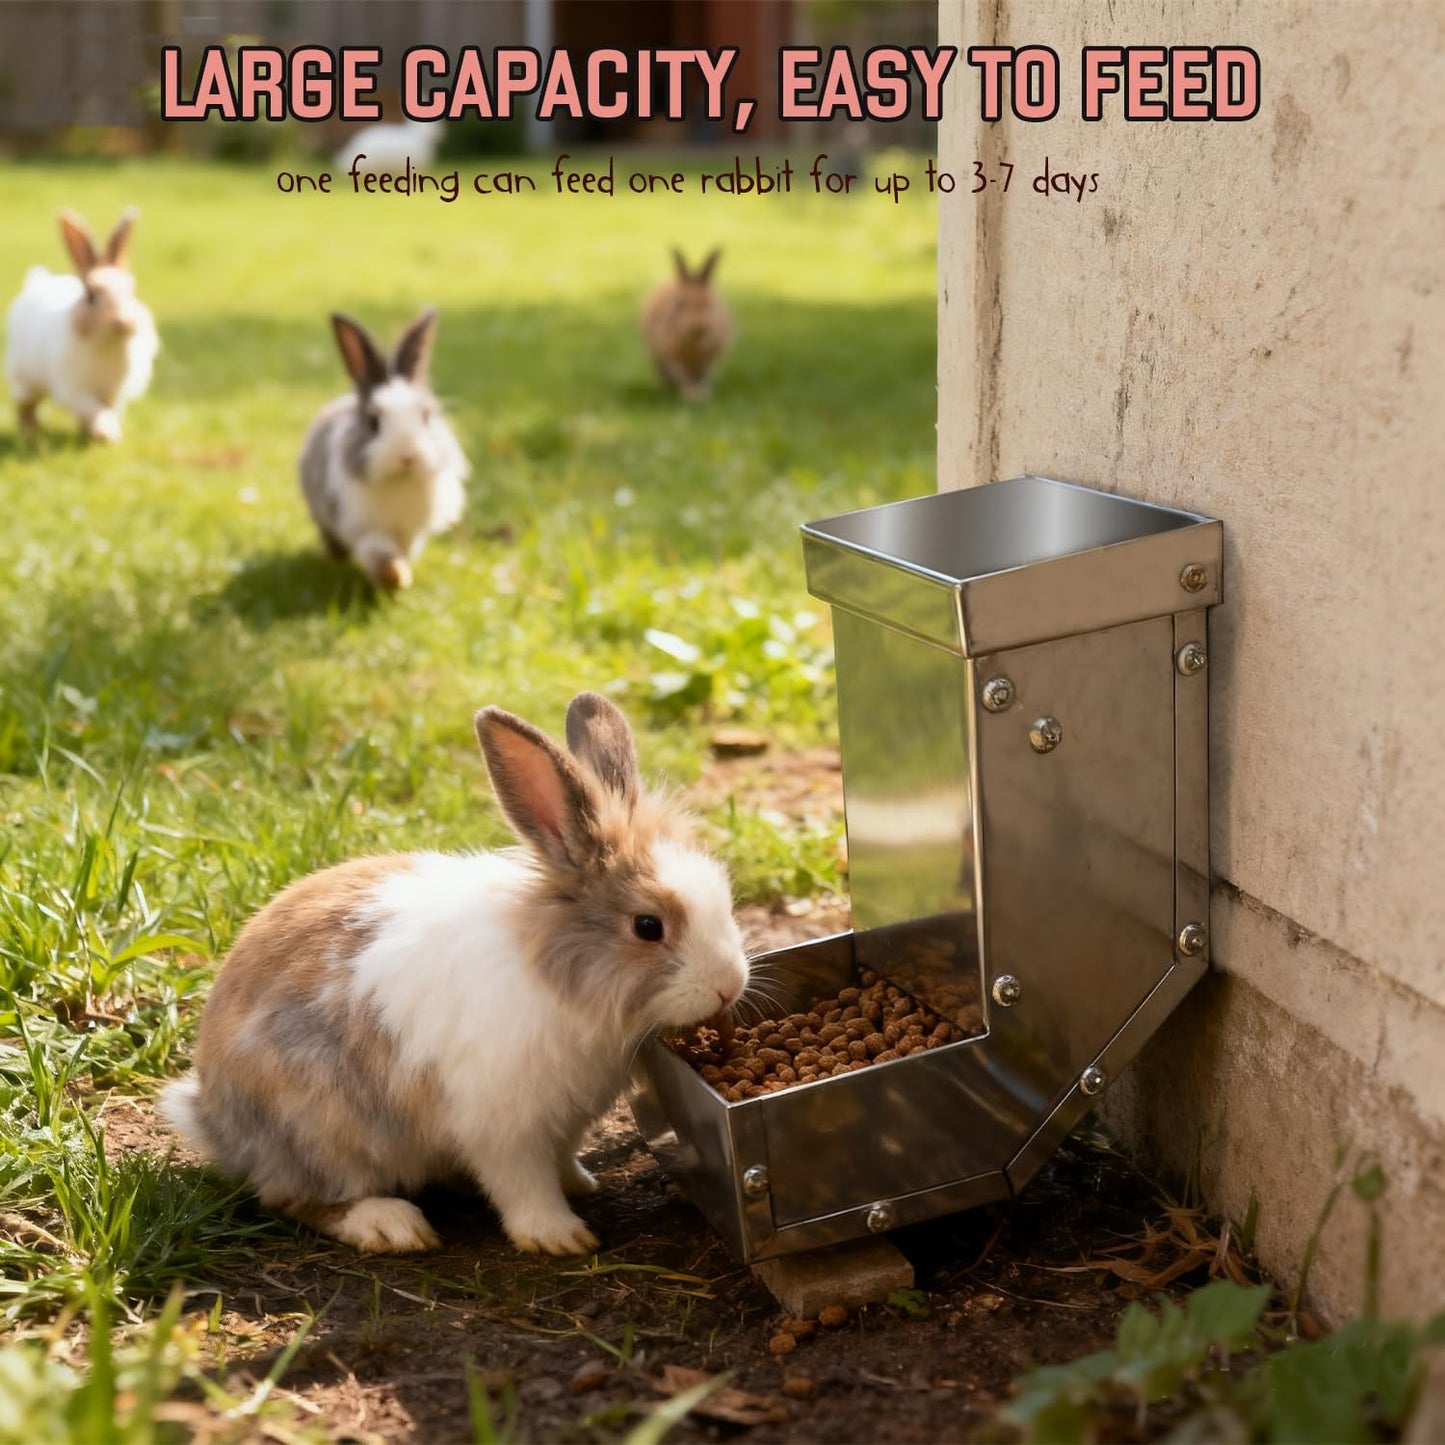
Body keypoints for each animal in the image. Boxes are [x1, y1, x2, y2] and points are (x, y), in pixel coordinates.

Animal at [4, 207, 158, 442]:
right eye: (91, 296)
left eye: (131, 291)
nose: (123, 322)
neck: (108, 344)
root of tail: (37, 282)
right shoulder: (74, 390)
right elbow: (93, 409)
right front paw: (107, 433)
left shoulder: (113, 394)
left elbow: (104, 410)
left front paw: (94, 436)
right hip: (25, 380)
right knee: (25, 406)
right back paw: (30, 433)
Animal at [160, 691, 751, 1256]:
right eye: (648, 926)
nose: (729, 986)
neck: (557, 968)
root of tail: (212, 1118)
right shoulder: (503, 1126)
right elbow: (524, 1186)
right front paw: (559, 1236)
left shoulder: (565, 1119)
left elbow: (559, 1161)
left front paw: (580, 1183)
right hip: (322, 1129)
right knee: (293, 1197)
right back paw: (391, 1226)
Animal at [298, 308, 470, 590]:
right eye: (373, 422)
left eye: (426, 416)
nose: (407, 456)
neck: (399, 481)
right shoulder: (364, 528)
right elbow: (380, 551)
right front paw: (394, 576)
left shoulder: (411, 532)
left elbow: (404, 550)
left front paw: (402, 576)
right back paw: (335, 559)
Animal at [640, 248, 733, 401]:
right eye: (680, 304)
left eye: (709, 303)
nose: (698, 328)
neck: (693, 344)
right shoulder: (671, 356)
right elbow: (683, 376)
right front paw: (692, 395)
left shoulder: (713, 356)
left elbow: (703, 376)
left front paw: (701, 395)